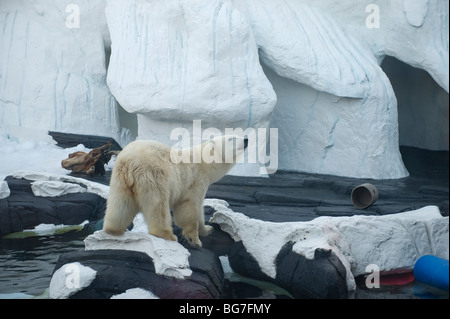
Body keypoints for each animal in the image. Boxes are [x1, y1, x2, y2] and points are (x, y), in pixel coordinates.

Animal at [103, 135, 248, 248]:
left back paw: (113, 229)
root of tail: (130, 162)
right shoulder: (195, 181)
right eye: (231, 138)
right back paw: (169, 235)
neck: (204, 163)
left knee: (120, 204)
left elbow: (199, 211)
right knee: (158, 206)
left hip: (119, 179)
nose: (246, 139)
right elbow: (190, 208)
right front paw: (195, 240)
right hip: (154, 175)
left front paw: (207, 229)